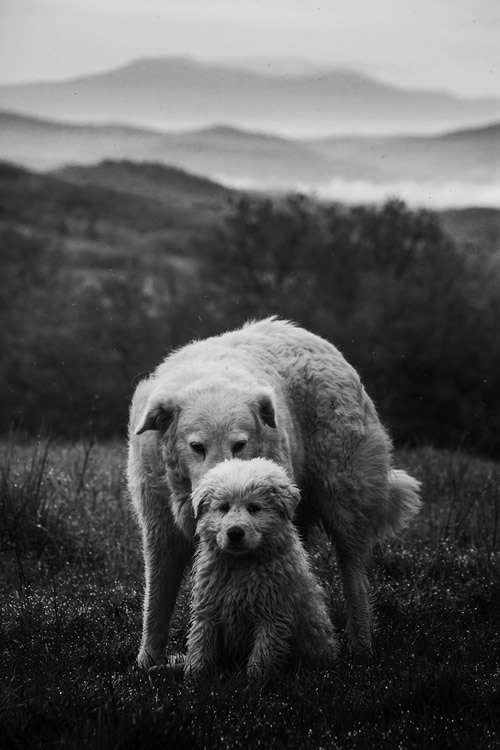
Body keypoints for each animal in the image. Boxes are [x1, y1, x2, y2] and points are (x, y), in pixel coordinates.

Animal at [127, 318, 420, 668]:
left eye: (239, 445)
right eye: (196, 447)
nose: (223, 485)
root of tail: (308, 336)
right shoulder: (160, 530)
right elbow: (157, 601)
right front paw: (147, 662)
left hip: (345, 501)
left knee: (355, 576)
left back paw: (359, 645)